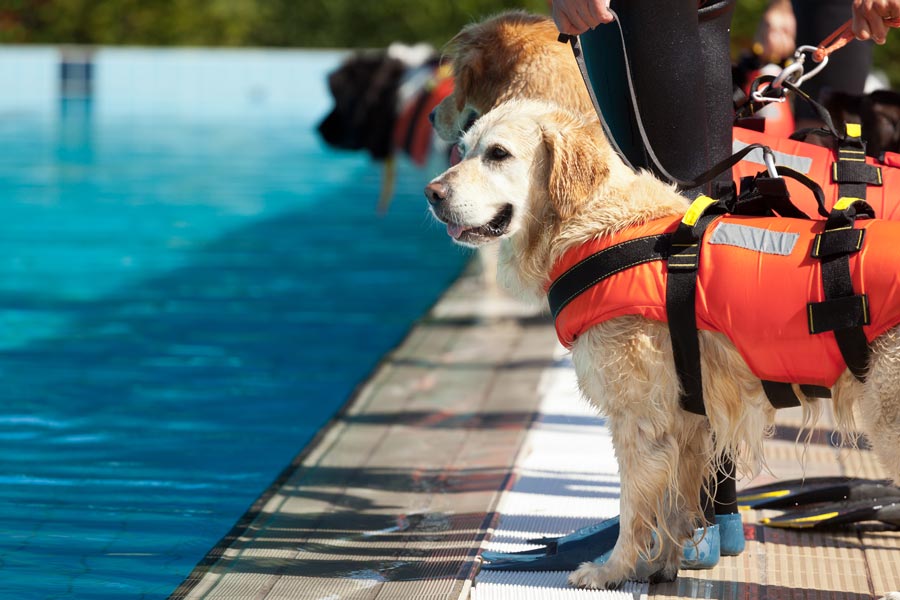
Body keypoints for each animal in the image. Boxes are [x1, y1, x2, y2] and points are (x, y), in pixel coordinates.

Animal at [424, 101, 900, 588]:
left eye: (498, 153)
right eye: (464, 149)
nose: (432, 192)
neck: (592, 224)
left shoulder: (639, 418)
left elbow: (633, 504)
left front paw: (611, 569)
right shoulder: (685, 420)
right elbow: (672, 505)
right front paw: (661, 564)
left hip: (887, 415)